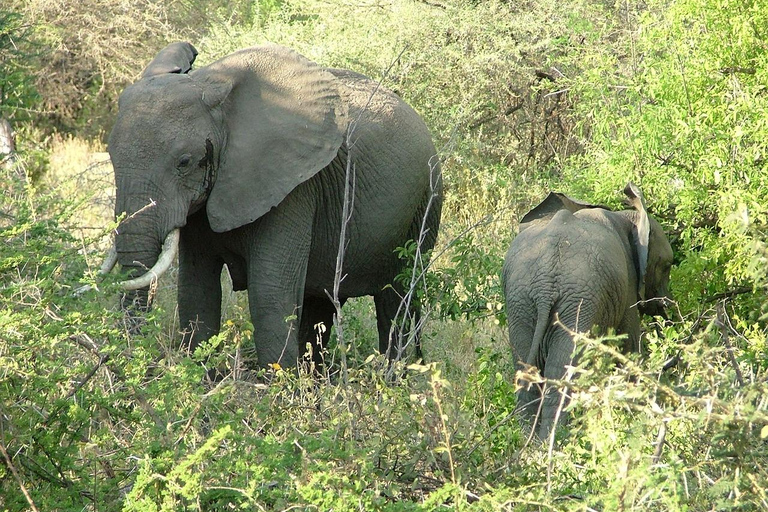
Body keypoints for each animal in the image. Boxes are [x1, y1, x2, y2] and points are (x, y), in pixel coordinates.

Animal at [100, 42, 444, 366]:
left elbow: (269, 294)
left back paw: (395, 376)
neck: (213, 87)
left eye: (184, 162)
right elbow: (196, 291)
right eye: (111, 157)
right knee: (318, 306)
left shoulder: (293, 187)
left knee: (396, 300)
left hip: (425, 204)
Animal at [500, 184, 668, 440]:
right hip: (577, 302)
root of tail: (545, 285)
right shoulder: (628, 284)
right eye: (667, 267)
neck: (625, 215)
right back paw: (552, 442)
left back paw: (531, 444)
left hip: (520, 303)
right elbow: (629, 347)